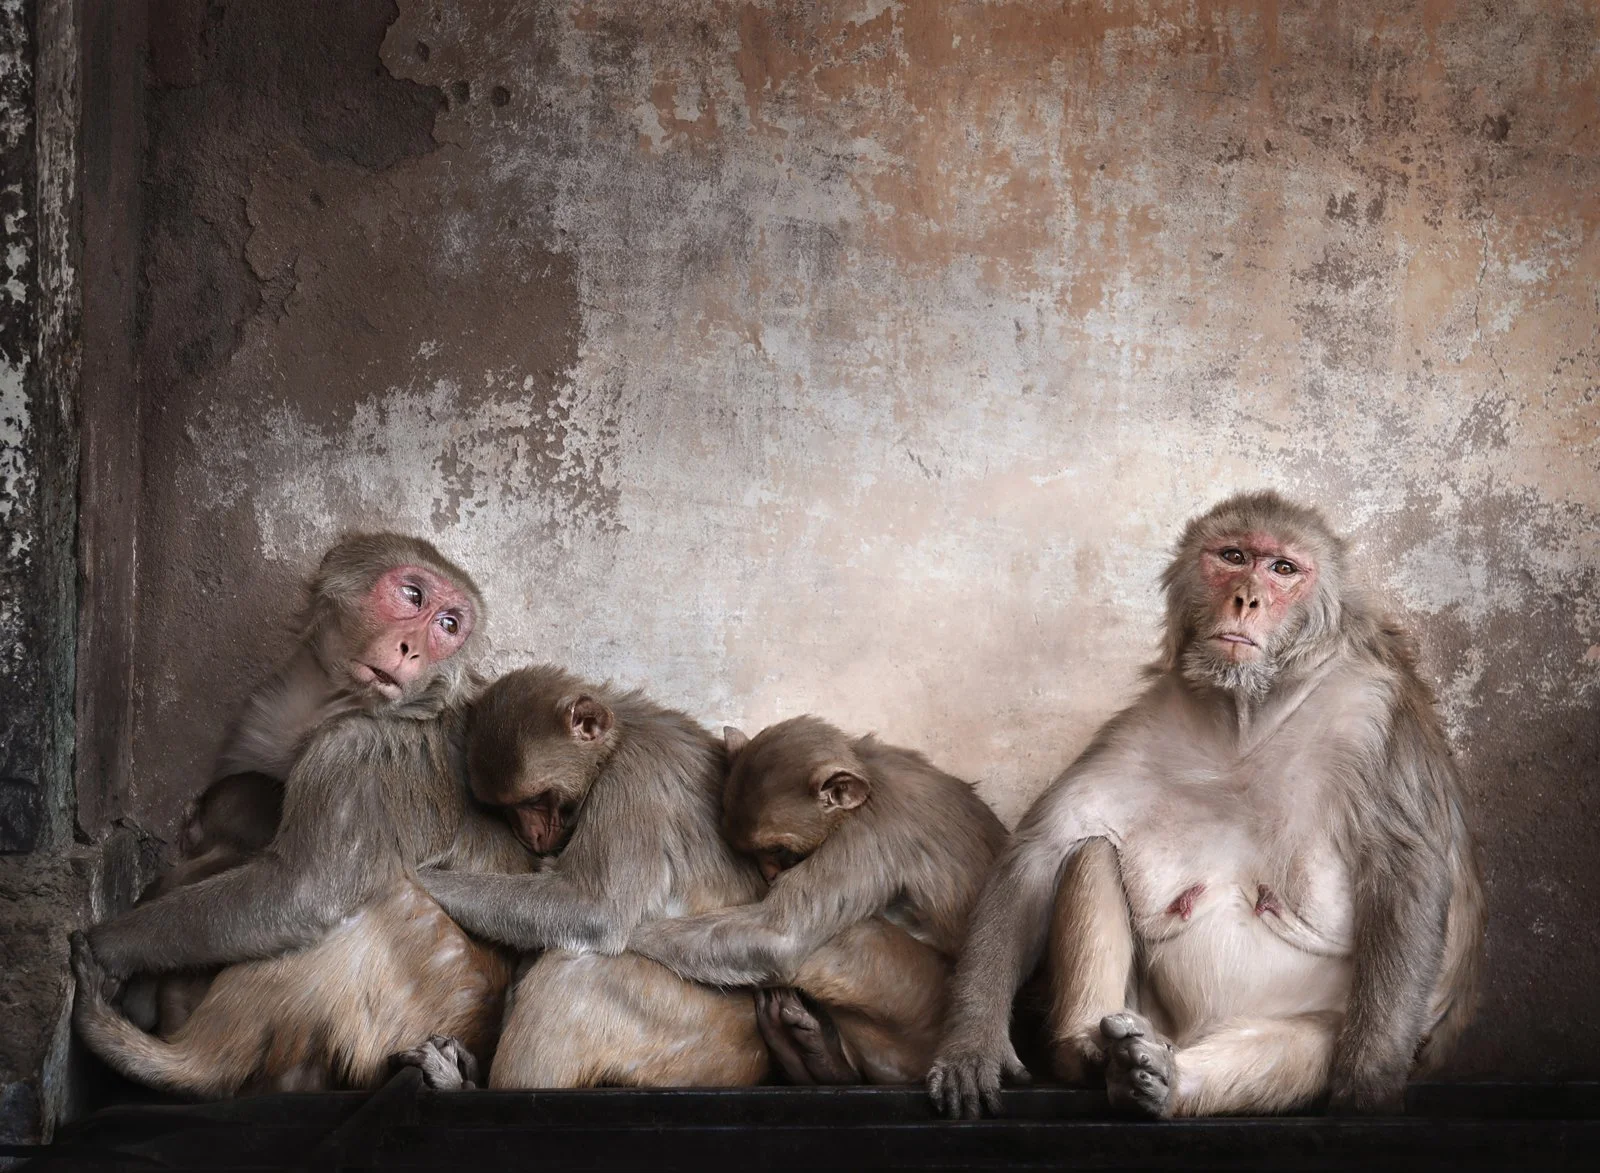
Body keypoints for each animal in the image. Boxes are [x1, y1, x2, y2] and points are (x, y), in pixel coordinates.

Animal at [70, 534, 530, 1095]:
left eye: (448, 625)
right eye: (412, 595)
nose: (412, 648)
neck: (335, 704)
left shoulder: (360, 754)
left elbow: (303, 890)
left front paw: (110, 945)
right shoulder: (267, 709)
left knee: (381, 899)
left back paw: (167, 1058)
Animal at [413, 664, 776, 1088]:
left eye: (536, 800)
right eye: (507, 808)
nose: (531, 835)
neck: (619, 741)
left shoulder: (633, 782)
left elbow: (595, 911)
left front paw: (422, 880)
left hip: (691, 1025)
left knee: (575, 975)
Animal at [624, 716, 1009, 1085]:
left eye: (779, 849)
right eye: (754, 853)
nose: (770, 875)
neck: (869, 778)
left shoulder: (870, 833)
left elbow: (778, 937)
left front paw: (625, 942)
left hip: (920, 1003)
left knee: (853, 936)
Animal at [928, 491, 1485, 1120]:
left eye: (1283, 569)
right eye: (1233, 556)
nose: (1246, 597)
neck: (1248, 715)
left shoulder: (1370, 713)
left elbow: (1406, 871)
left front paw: (1367, 1084)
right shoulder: (1143, 726)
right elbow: (1038, 855)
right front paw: (972, 1041)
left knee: (1310, 1046)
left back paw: (1167, 1081)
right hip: (1150, 1016)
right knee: (1092, 849)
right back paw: (1091, 1052)